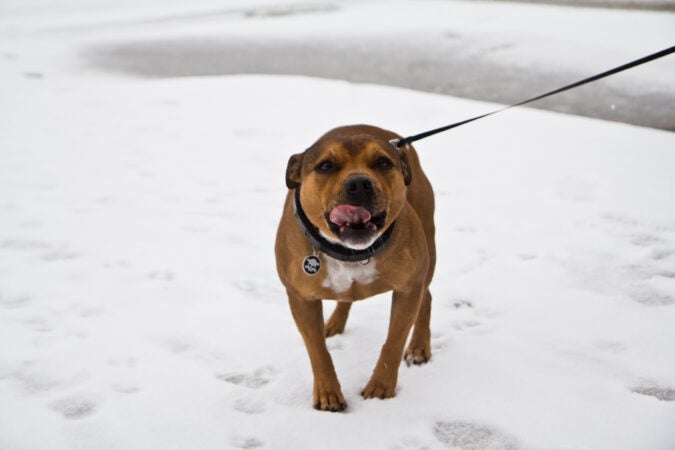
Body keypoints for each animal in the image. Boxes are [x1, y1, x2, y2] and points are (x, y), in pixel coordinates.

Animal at [276, 123, 438, 412]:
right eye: (325, 166)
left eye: (383, 162)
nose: (360, 183)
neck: (351, 253)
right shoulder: (300, 298)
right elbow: (317, 350)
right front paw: (328, 393)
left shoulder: (408, 289)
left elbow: (394, 341)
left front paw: (381, 387)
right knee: (345, 299)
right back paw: (333, 324)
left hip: (428, 252)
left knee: (426, 296)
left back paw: (419, 347)